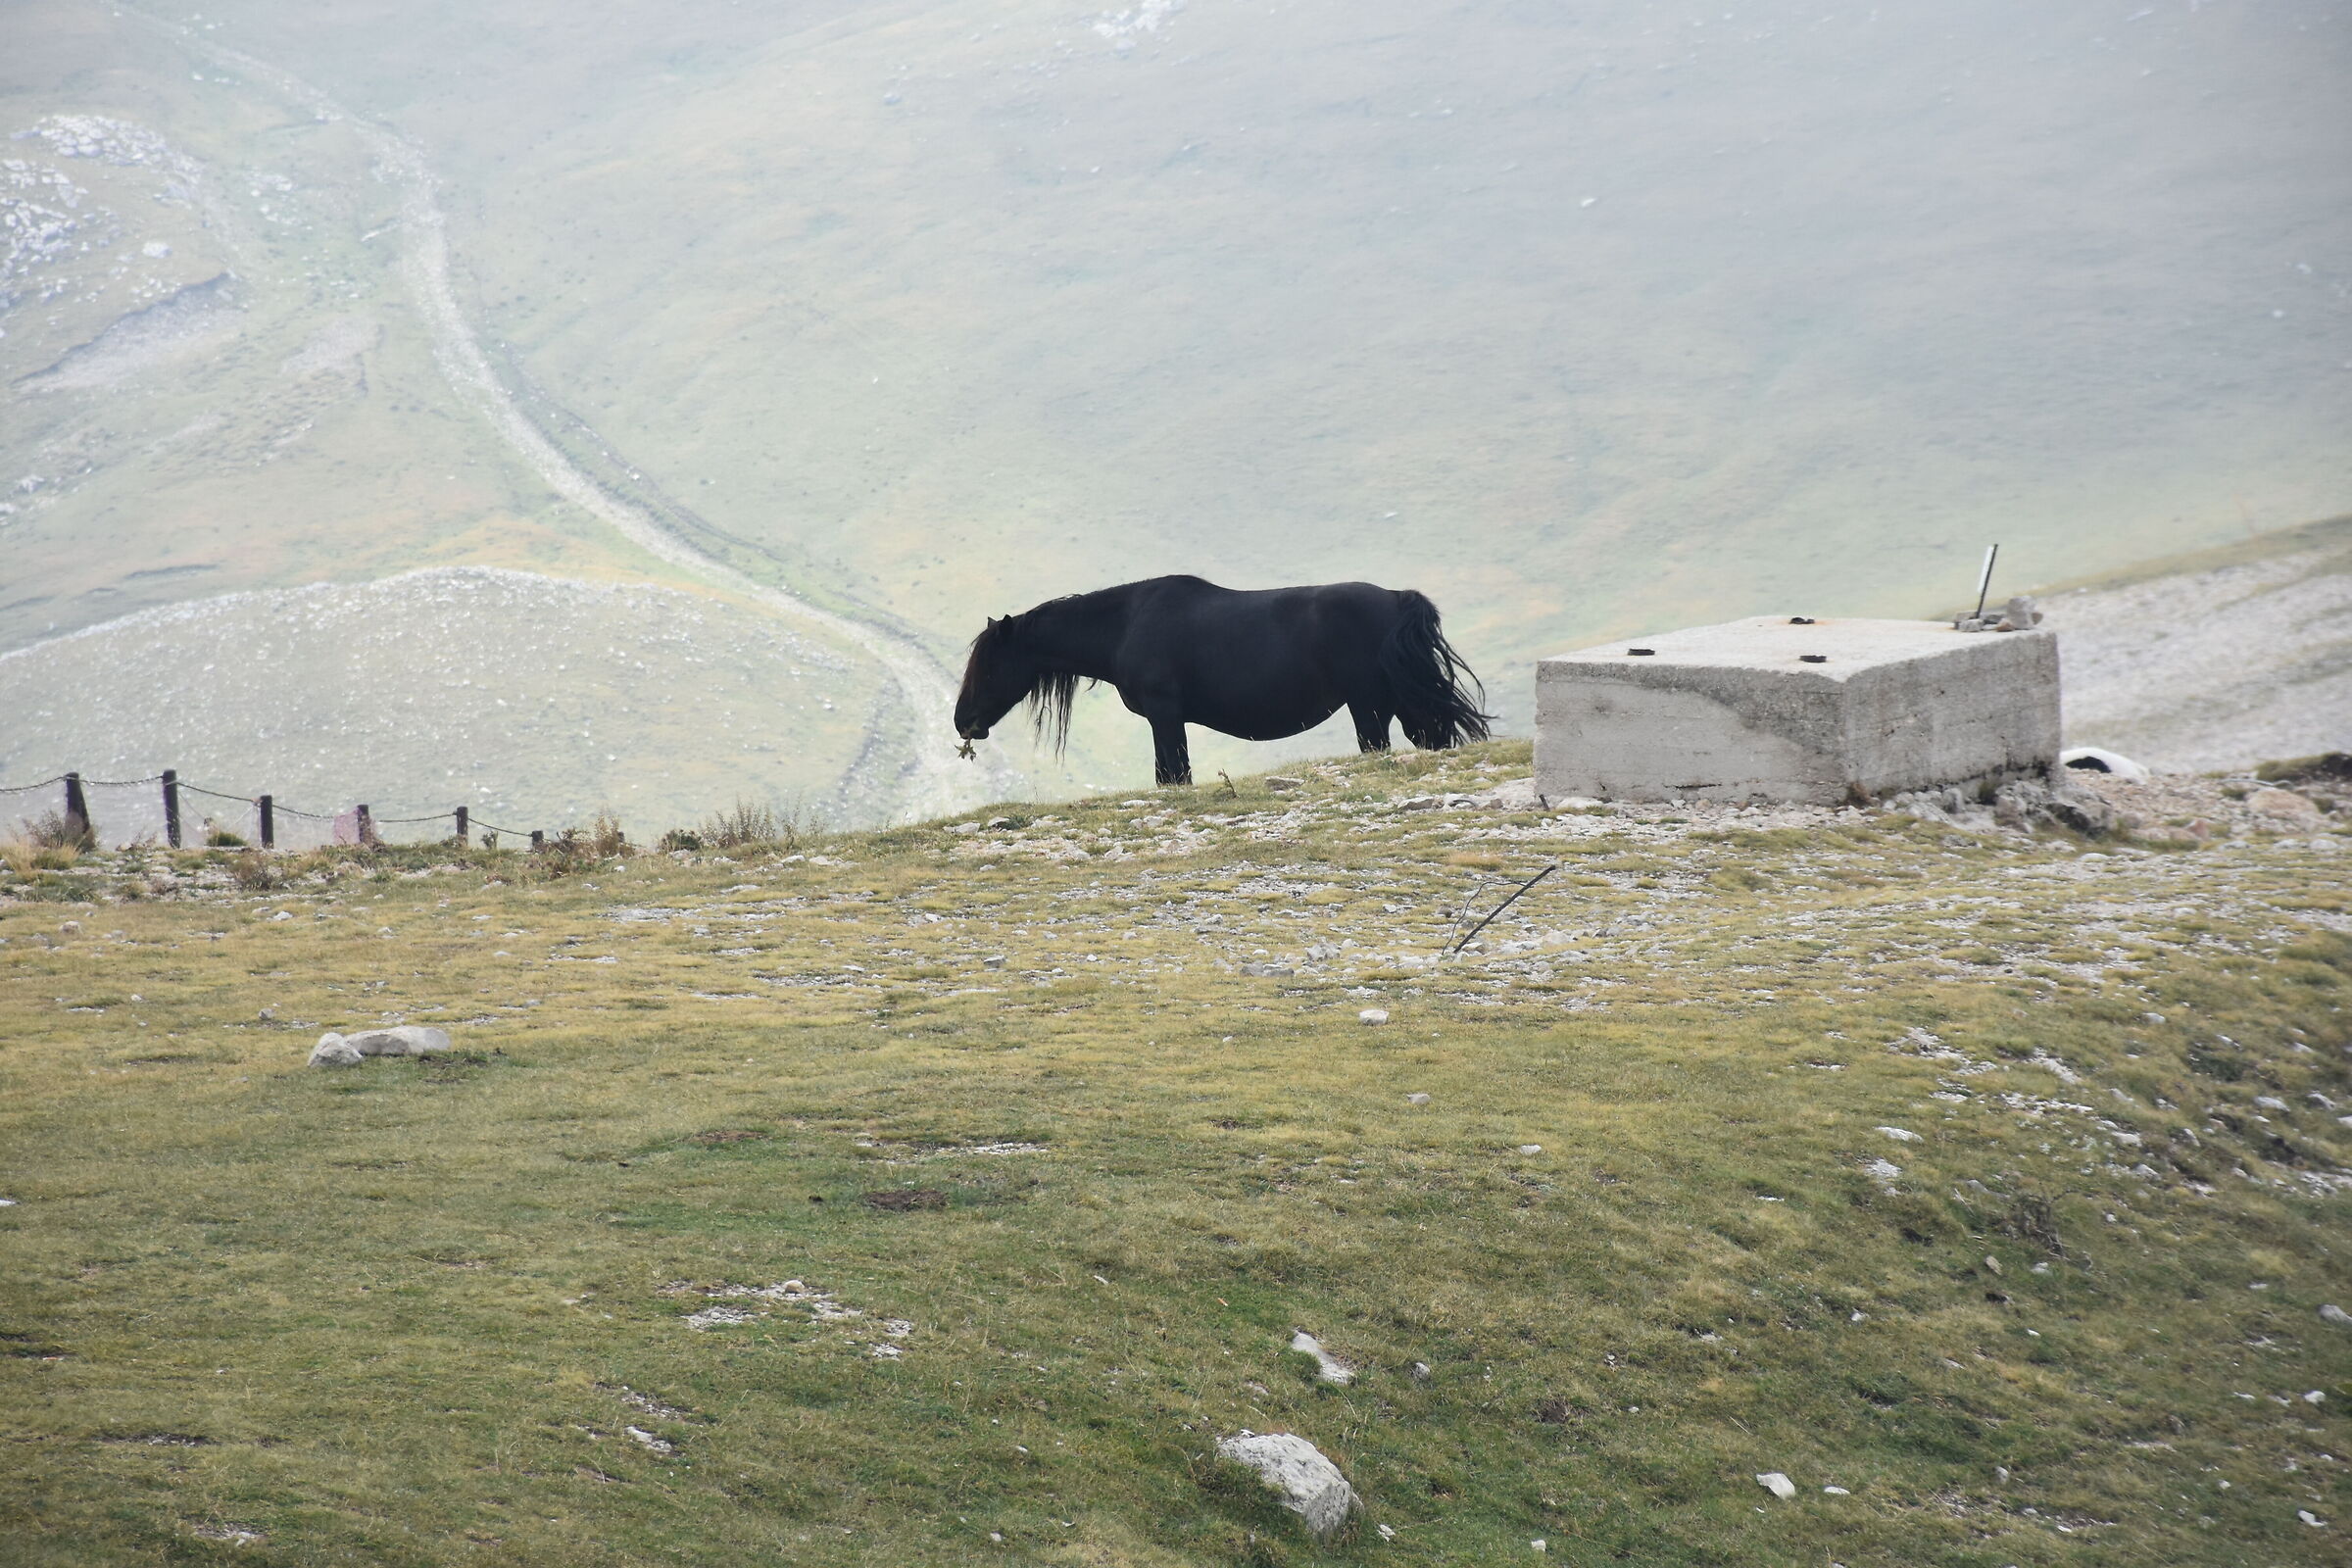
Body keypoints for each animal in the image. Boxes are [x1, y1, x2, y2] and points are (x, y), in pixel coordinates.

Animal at [952, 575, 1492, 786]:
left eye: (988, 665)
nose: (963, 722)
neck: (1126, 624)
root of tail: (1398, 599)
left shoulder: (1165, 718)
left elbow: (1173, 774)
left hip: (1370, 707)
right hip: (1400, 706)